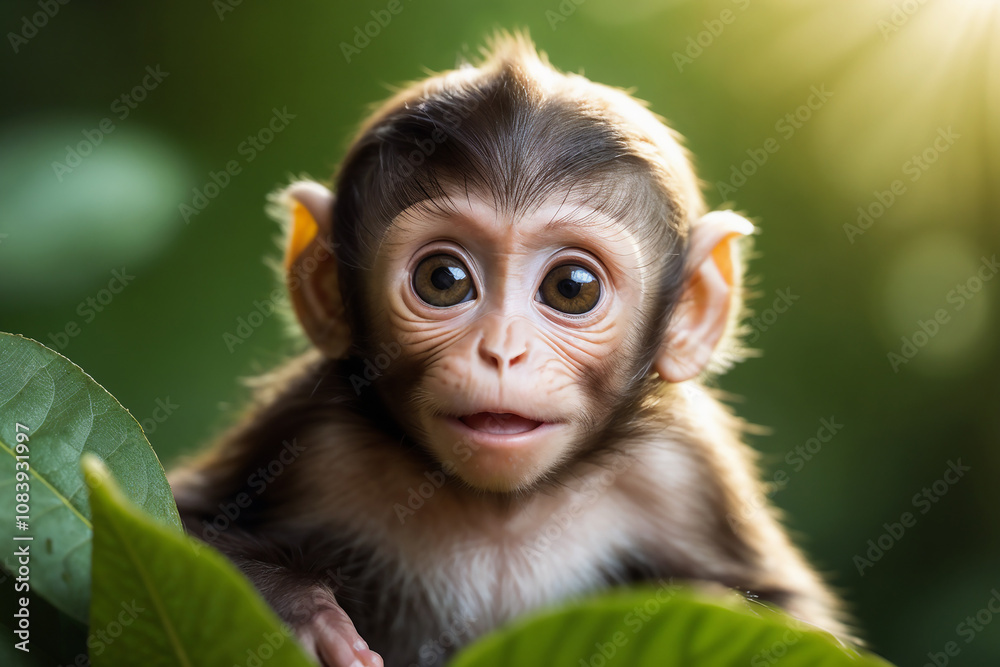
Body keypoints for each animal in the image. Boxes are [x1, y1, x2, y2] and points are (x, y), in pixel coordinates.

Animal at [168, 33, 853, 667]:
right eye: (443, 279)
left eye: (571, 287)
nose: (502, 353)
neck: (500, 511)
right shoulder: (313, 429)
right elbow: (185, 520)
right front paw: (300, 611)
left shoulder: (683, 466)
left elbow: (795, 615)